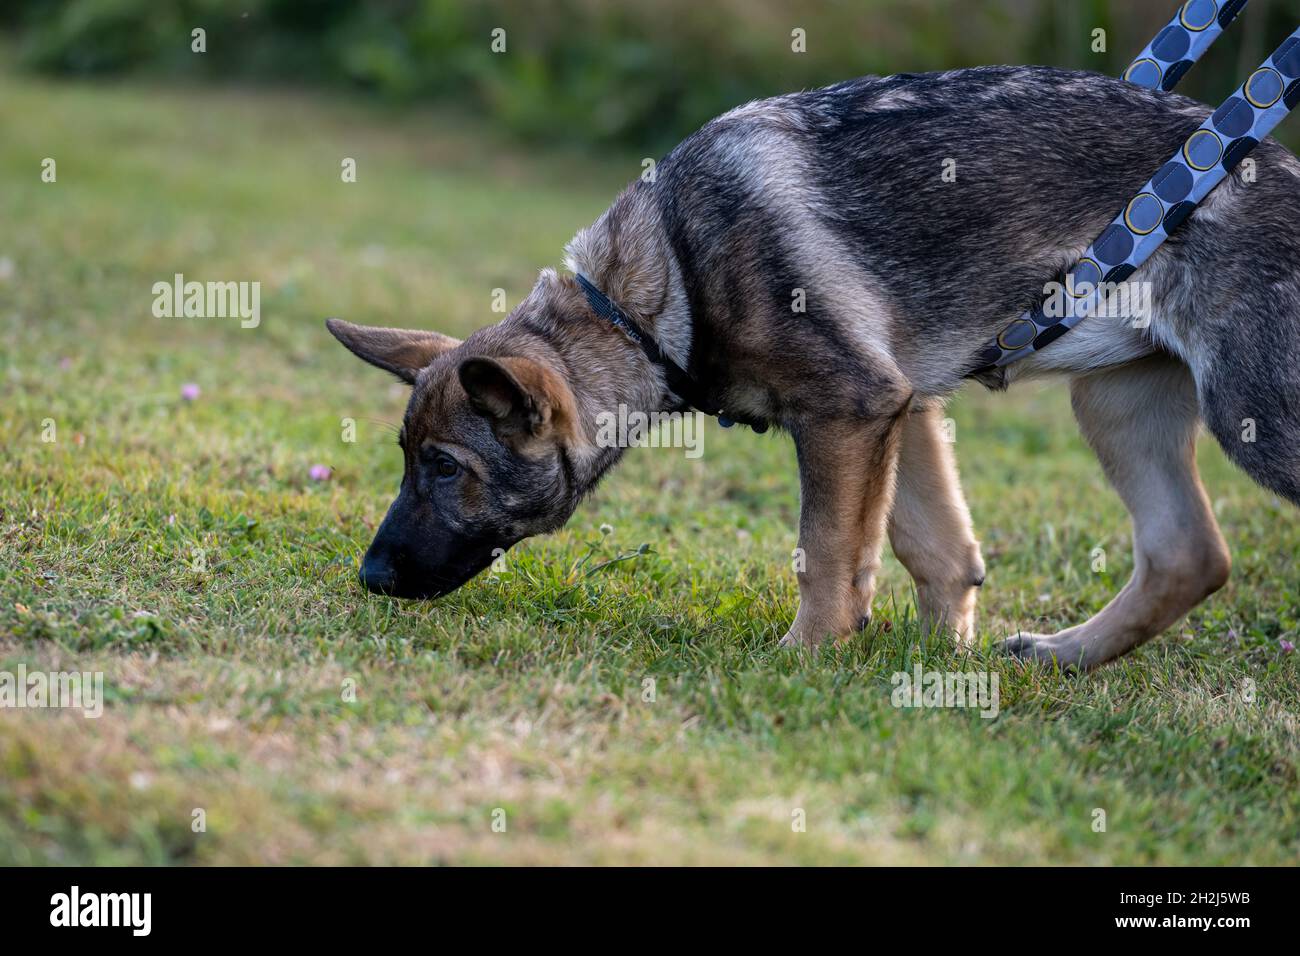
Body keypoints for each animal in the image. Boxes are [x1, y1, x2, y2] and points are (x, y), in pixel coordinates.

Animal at [330, 67, 1300, 671]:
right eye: (408, 462)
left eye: (444, 468)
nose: (370, 579)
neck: (656, 294)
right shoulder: (900, 409)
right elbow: (934, 550)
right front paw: (938, 666)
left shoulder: (848, 410)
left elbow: (829, 550)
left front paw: (808, 656)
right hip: (1116, 403)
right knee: (1189, 553)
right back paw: (1062, 658)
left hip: (1257, 419)